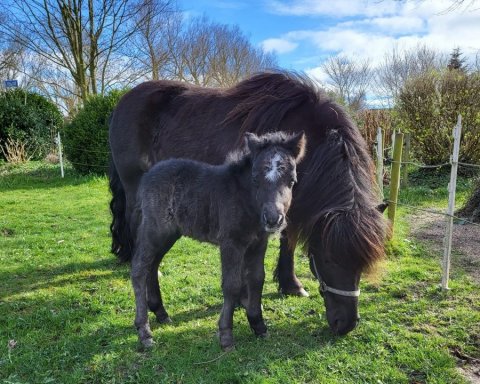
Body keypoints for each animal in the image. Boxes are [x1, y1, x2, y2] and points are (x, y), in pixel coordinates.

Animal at [131, 130, 304, 350]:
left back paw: (161, 313)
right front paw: (226, 335)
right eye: (255, 179)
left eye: (292, 180)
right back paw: (144, 331)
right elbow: (232, 284)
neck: (246, 200)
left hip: (169, 234)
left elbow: (257, 279)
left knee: (152, 266)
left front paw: (258, 325)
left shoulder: (258, 244)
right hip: (154, 230)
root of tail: (147, 176)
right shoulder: (231, 243)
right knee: (139, 269)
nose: (273, 219)